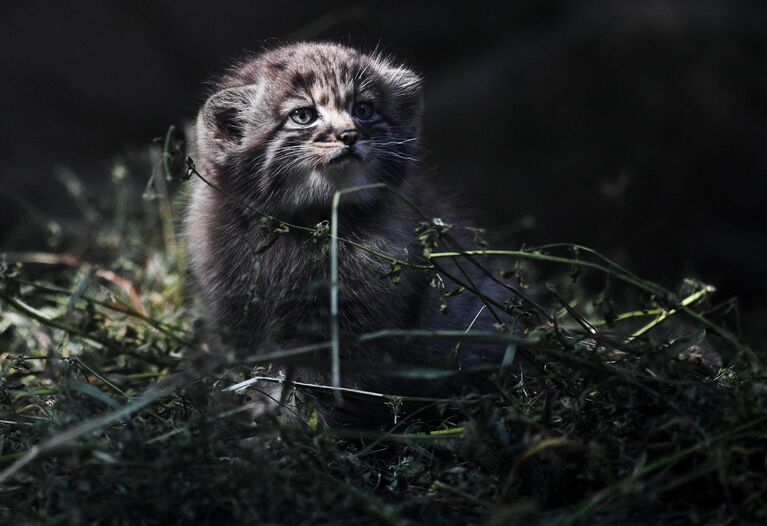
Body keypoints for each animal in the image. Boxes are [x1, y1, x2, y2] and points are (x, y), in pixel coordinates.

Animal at [184, 43, 512, 426]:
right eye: (304, 115)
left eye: (363, 109)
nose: (350, 134)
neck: (302, 226)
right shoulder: (236, 312)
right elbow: (260, 374)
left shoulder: (352, 329)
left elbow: (322, 392)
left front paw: (301, 430)